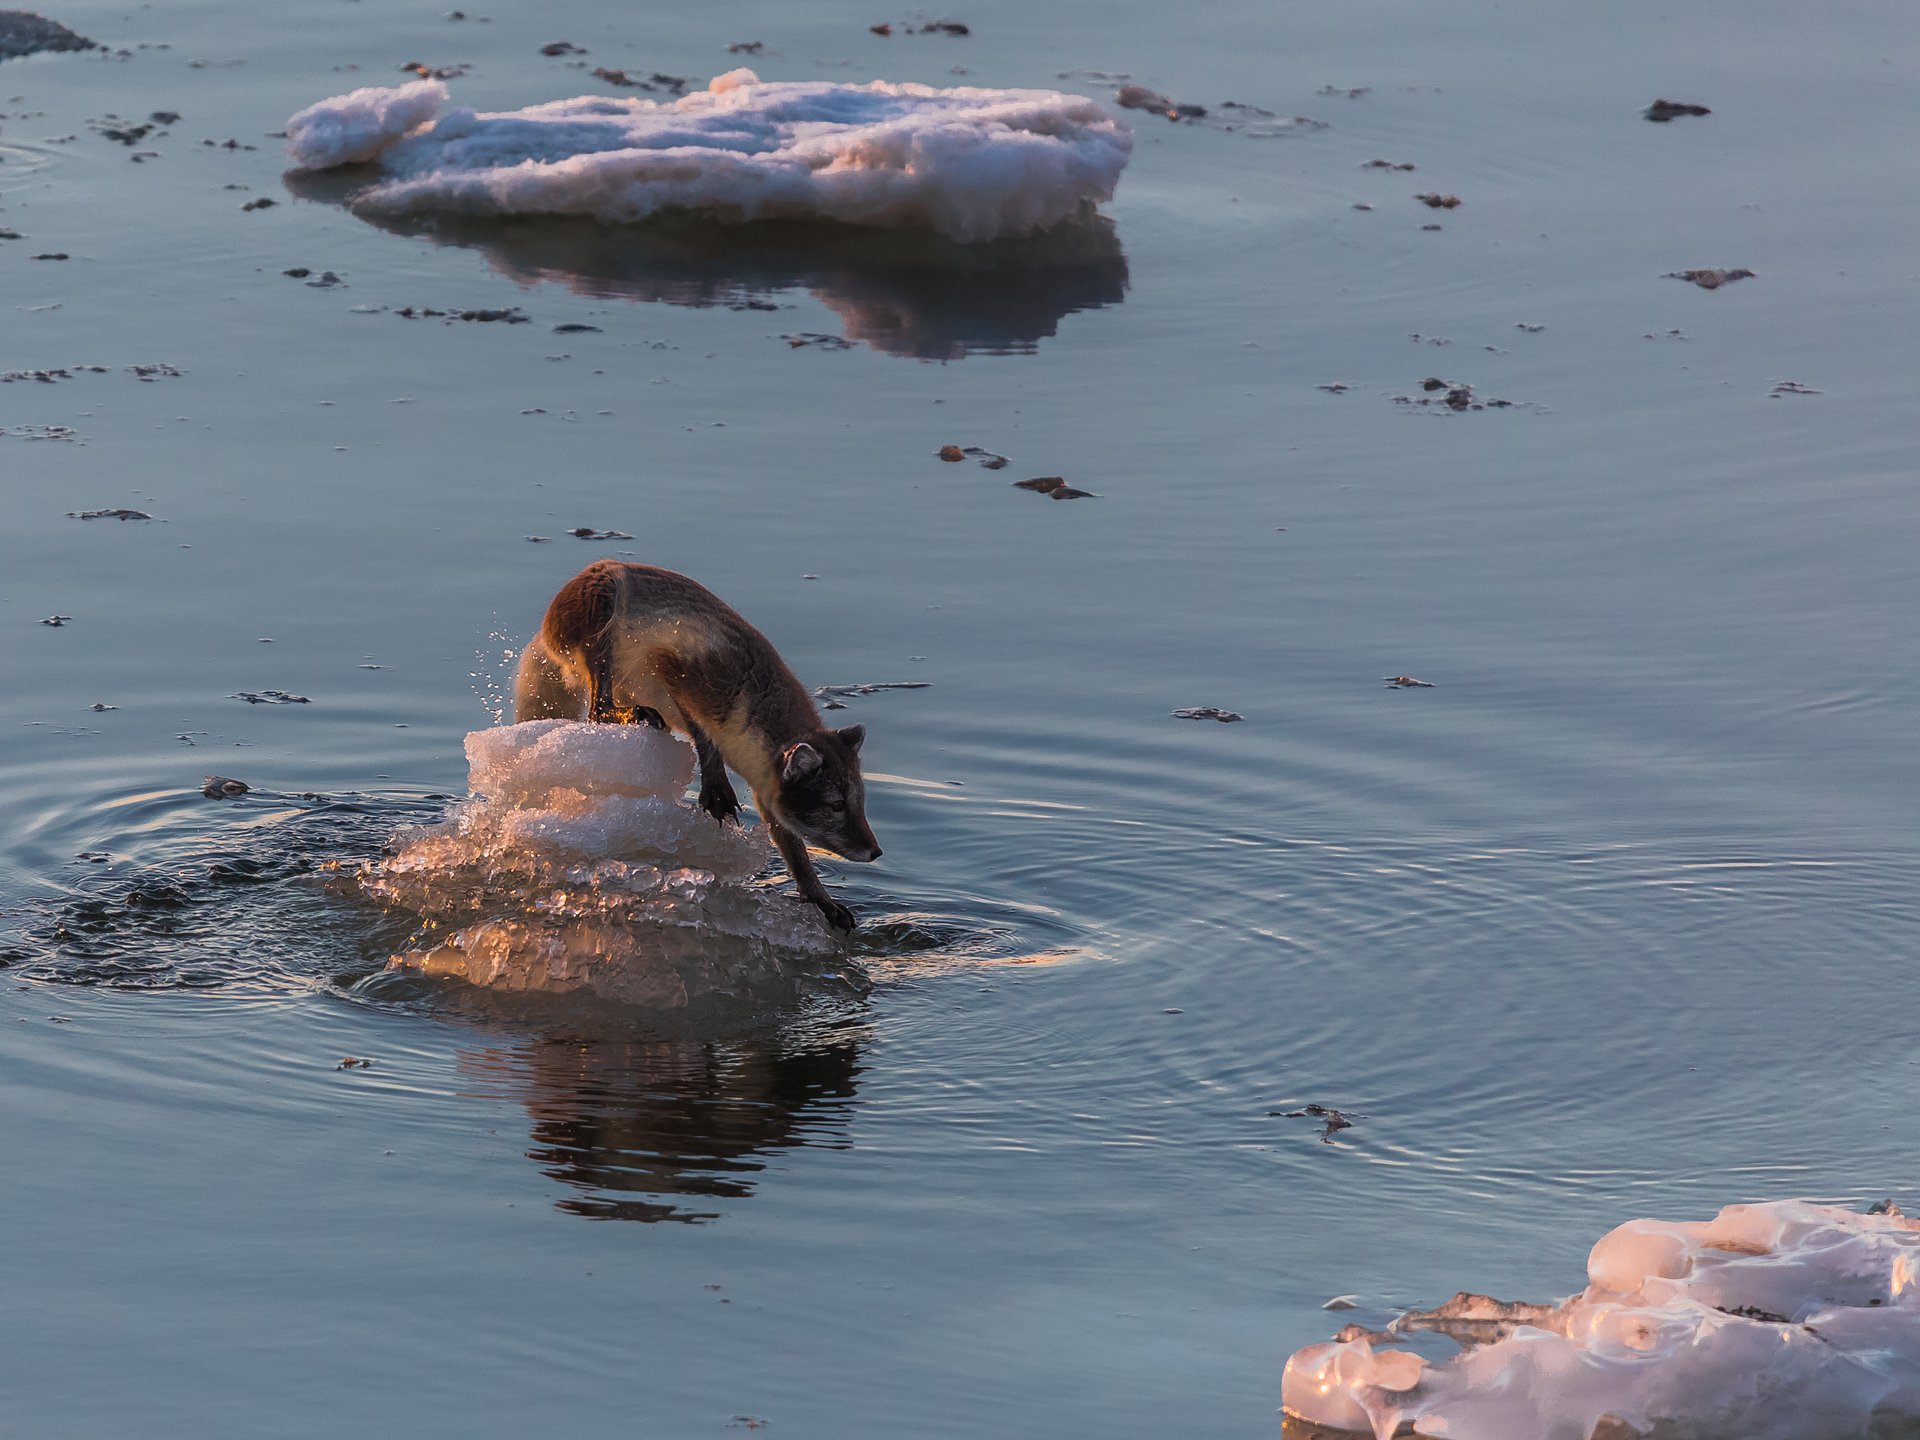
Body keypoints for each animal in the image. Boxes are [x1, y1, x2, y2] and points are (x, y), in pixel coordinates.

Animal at [514, 556, 879, 929]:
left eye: (861, 801)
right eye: (836, 805)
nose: (875, 851)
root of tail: (544, 630)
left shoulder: (766, 788)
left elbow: (793, 848)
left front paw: (821, 900)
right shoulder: (680, 667)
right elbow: (702, 733)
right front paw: (715, 786)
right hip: (603, 610)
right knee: (598, 709)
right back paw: (636, 712)